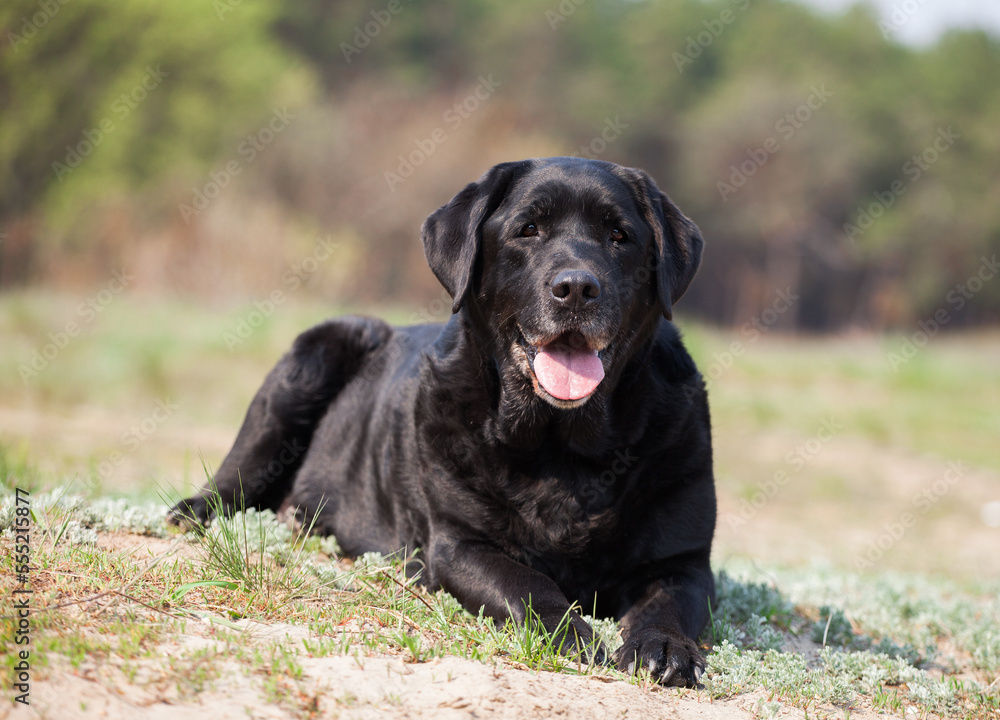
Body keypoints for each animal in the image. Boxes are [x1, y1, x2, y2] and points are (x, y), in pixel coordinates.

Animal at [172, 156, 720, 688]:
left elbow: (668, 601)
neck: (563, 446)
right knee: (239, 472)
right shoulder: (459, 544)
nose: (577, 287)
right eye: (528, 229)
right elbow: (527, 583)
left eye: (619, 235)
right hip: (314, 358)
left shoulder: (685, 561)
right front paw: (567, 631)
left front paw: (665, 647)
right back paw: (194, 512)